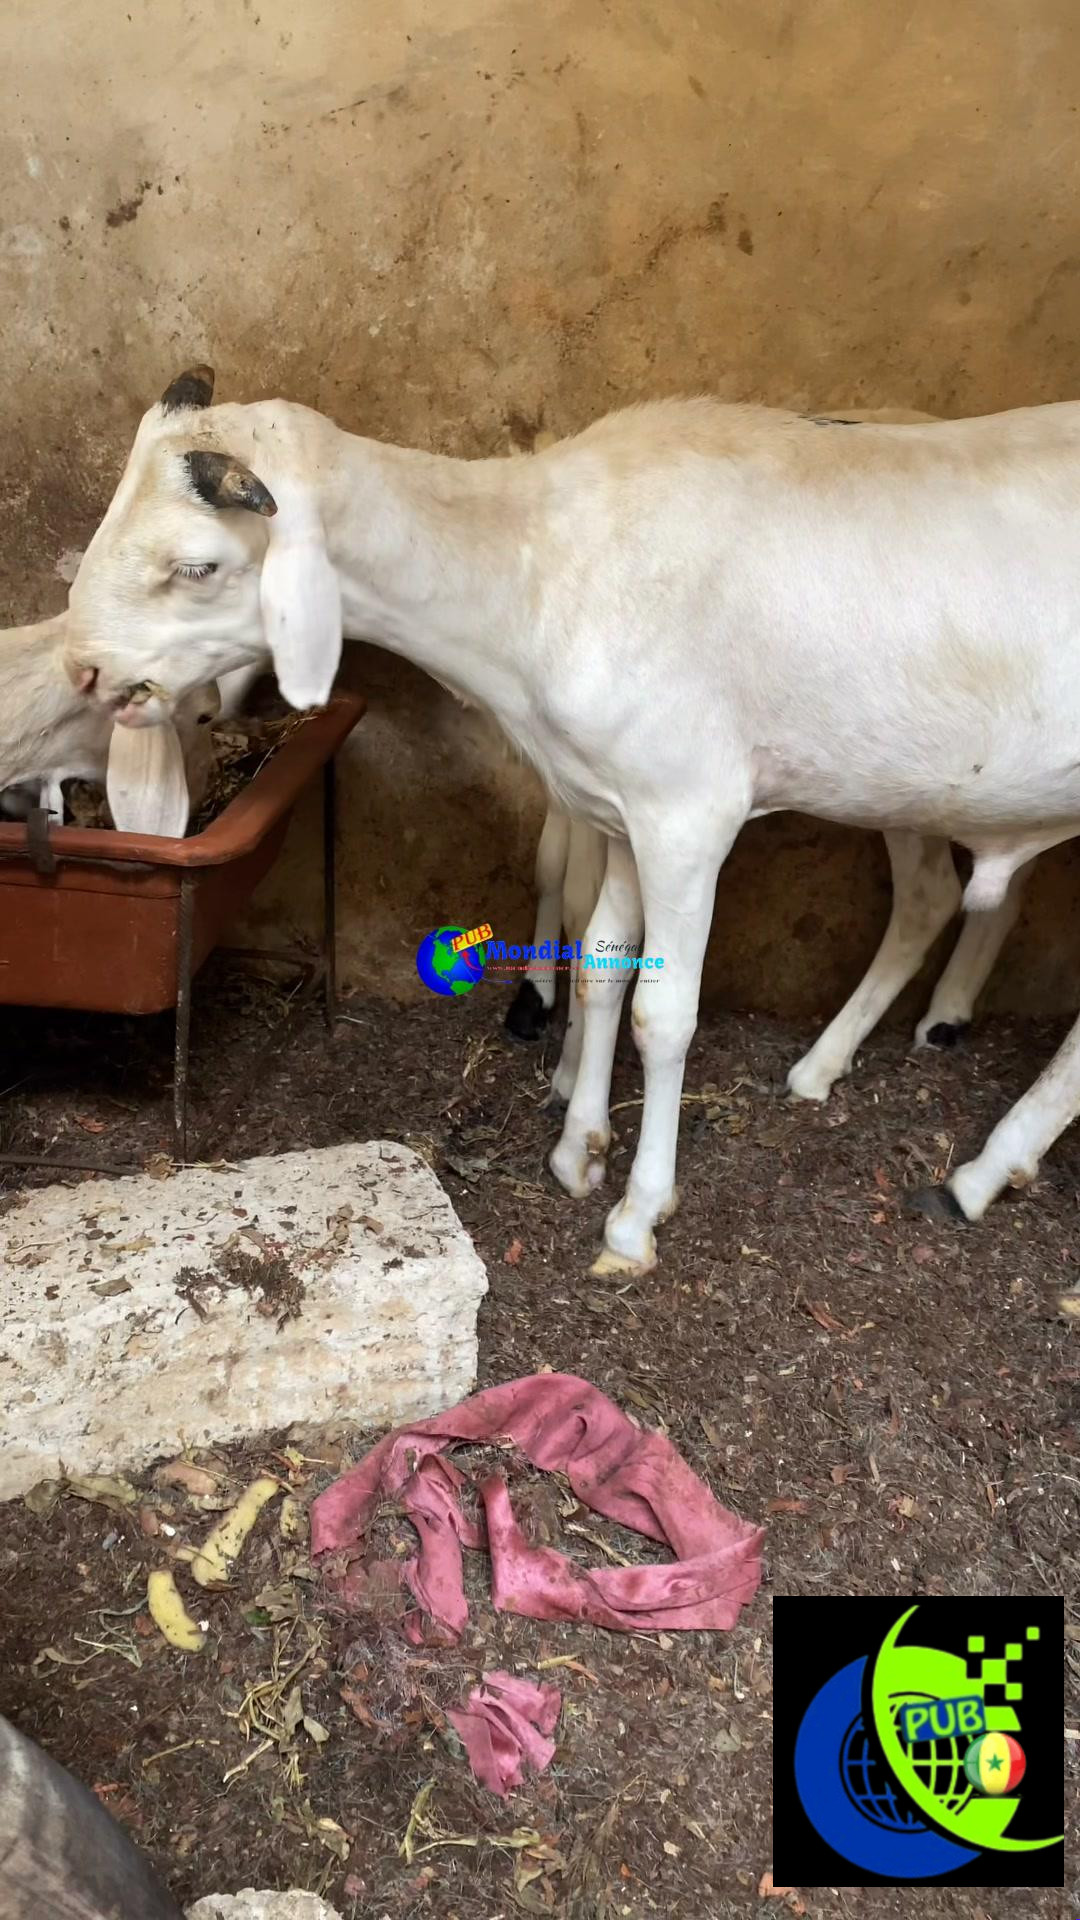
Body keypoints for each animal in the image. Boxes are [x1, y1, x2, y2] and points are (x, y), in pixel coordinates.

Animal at [63, 366, 1080, 1272]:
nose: (82, 668)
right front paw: (578, 1148)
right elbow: (600, 971)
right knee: (934, 897)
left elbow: (663, 1014)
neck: (536, 565)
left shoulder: (686, 815)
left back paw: (980, 1170)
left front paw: (636, 1216)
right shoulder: (621, 804)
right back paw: (843, 1069)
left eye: (197, 565)